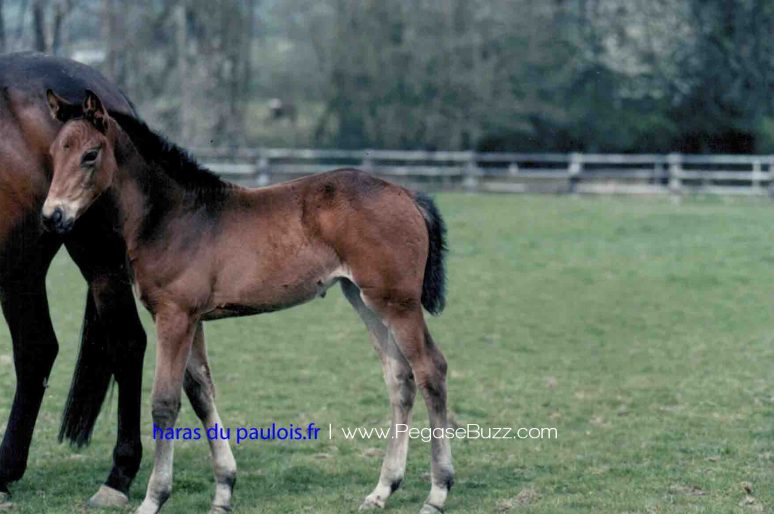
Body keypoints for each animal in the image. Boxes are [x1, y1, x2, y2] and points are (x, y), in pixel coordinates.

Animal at [41, 91, 454, 512]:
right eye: (55, 152)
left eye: (91, 154)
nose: (52, 216)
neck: (172, 219)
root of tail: (406, 194)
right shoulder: (193, 320)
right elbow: (201, 393)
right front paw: (224, 491)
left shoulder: (174, 317)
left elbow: (165, 402)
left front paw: (153, 499)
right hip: (364, 299)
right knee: (400, 378)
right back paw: (382, 489)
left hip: (398, 303)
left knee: (430, 370)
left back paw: (437, 492)